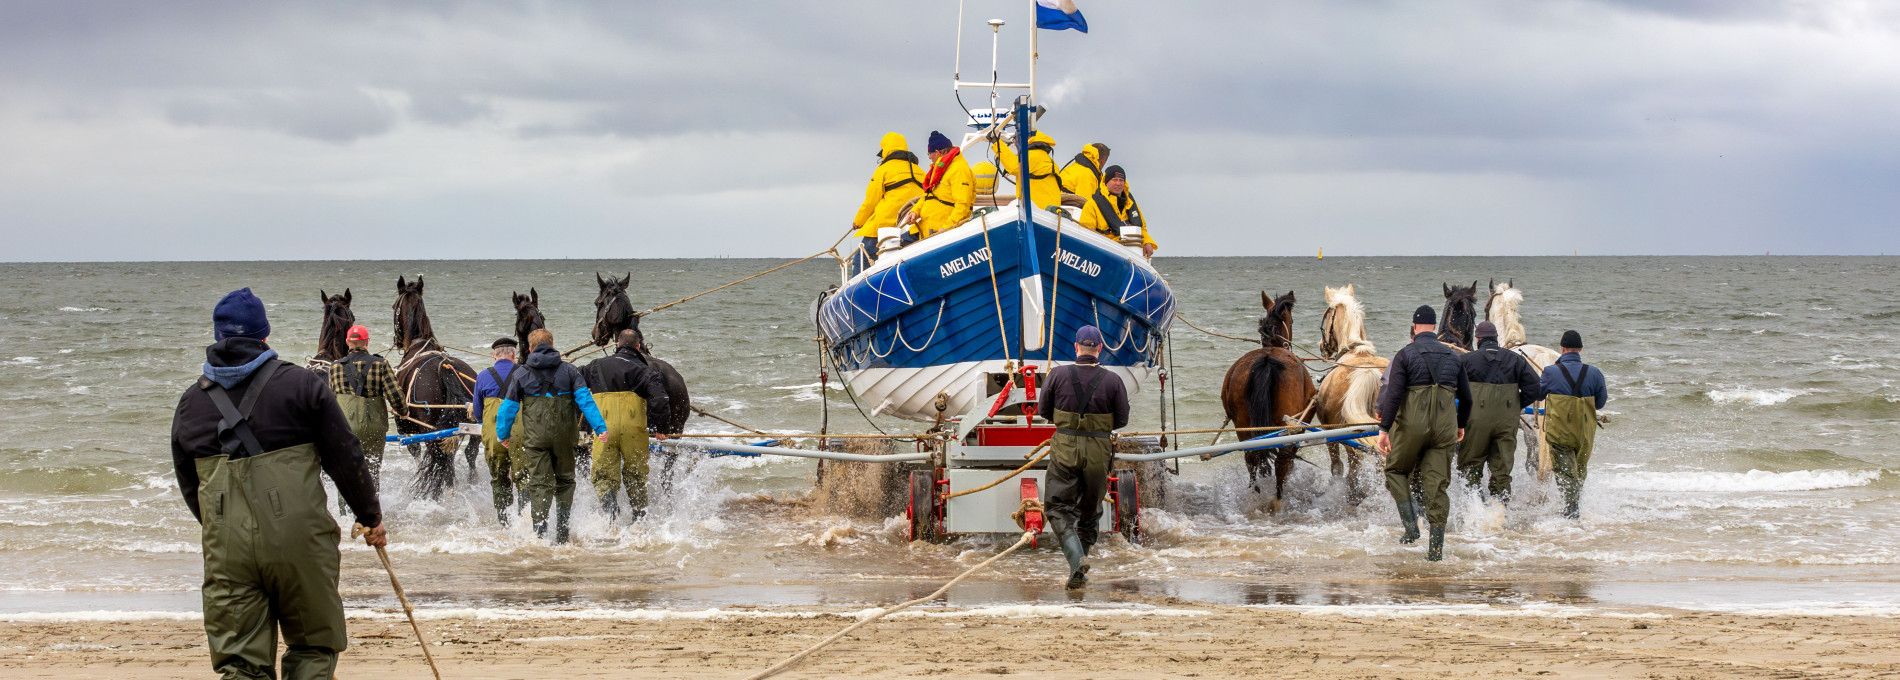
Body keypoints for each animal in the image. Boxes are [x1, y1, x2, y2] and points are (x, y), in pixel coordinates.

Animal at [389, 275, 478, 497]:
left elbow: (416, 453)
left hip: (431, 429)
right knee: (469, 453)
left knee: (437, 457)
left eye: (394, 306)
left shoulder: (406, 426)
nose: (397, 341)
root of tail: (445, 368)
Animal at [1216, 288, 1322, 512]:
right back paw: (1278, 499)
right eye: (1292, 320)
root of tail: (1267, 360)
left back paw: (1255, 494)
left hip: (1244, 426)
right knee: (1282, 460)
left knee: (1251, 458)